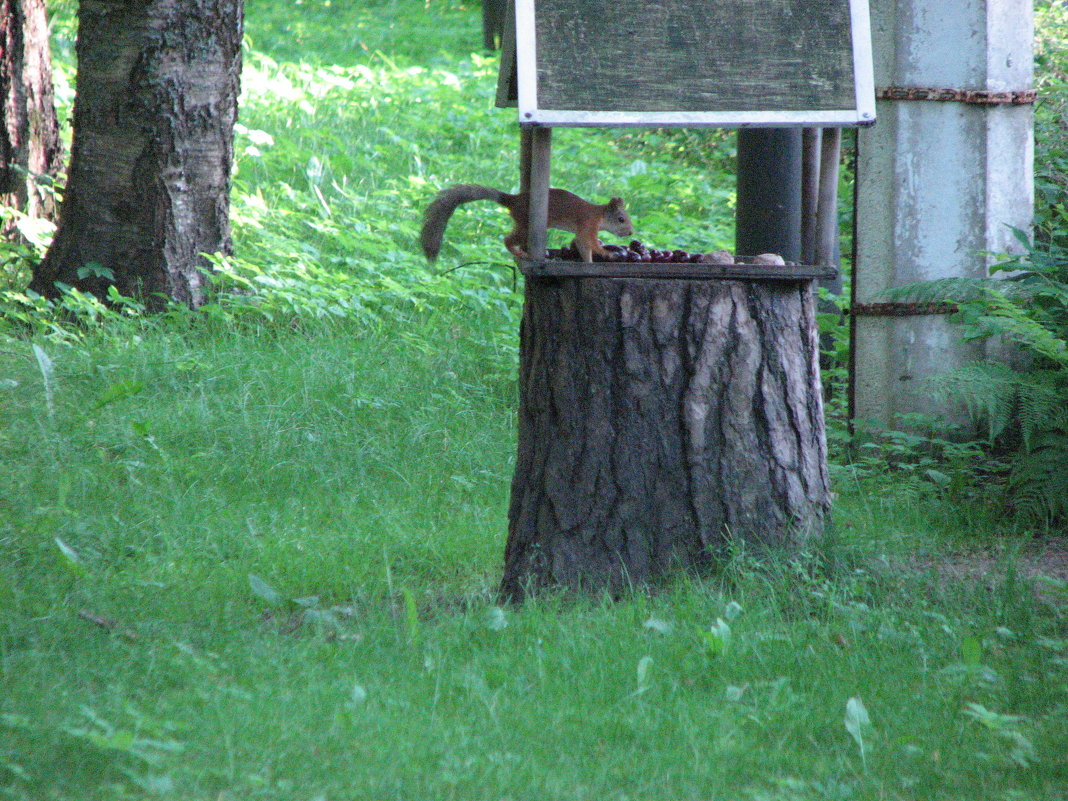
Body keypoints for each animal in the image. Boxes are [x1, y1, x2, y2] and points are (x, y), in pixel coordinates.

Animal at [418, 184, 632, 263]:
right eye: (621, 219)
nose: (630, 232)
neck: (600, 215)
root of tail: (513, 200)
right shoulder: (589, 224)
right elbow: (591, 242)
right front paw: (607, 253)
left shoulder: (582, 232)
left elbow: (582, 245)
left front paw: (588, 262)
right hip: (526, 225)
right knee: (507, 239)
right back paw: (518, 252)